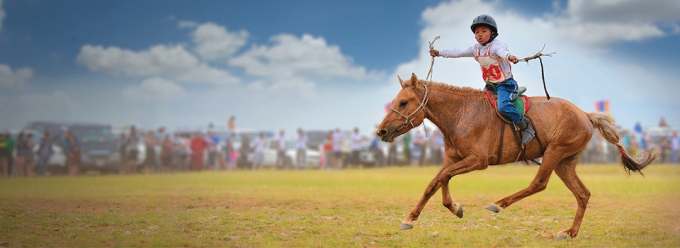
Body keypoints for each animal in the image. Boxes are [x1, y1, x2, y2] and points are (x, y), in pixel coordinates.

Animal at [378, 72, 660, 239]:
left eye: (403, 102)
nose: (381, 131)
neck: (461, 114)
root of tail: (585, 114)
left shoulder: (478, 161)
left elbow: (443, 178)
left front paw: (454, 207)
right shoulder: (453, 159)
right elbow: (435, 182)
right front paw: (412, 218)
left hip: (555, 152)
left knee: (539, 183)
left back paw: (498, 204)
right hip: (565, 163)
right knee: (583, 194)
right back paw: (569, 232)